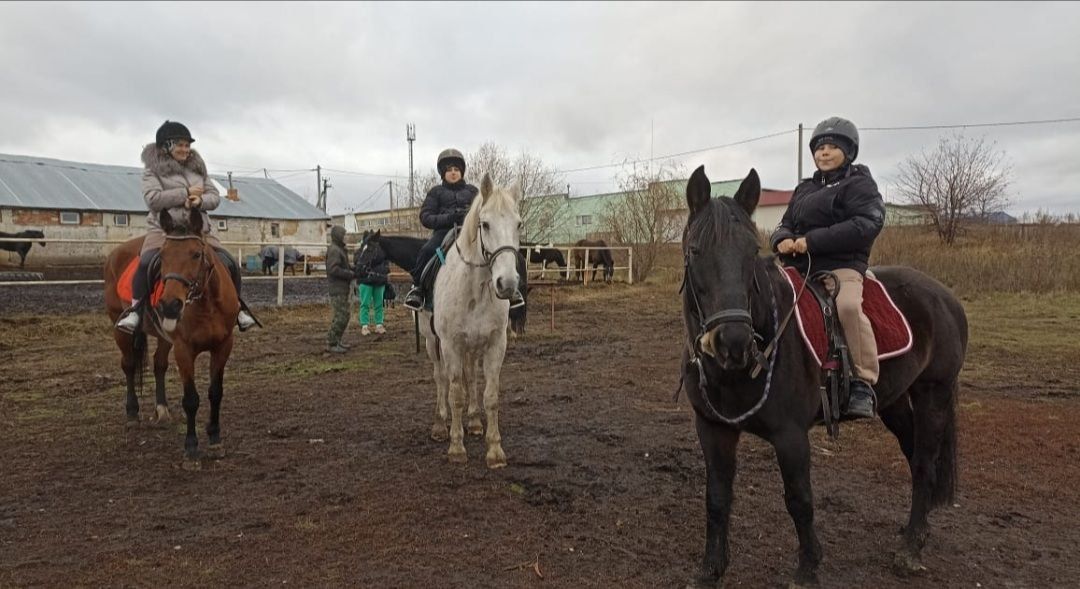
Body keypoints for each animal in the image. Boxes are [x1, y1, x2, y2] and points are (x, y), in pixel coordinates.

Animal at [104, 208, 239, 462]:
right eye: (163, 255)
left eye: (196, 254)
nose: (169, 305)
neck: (206, 305)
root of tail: (116, 253)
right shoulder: (184, 349)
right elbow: (191, 399)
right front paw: (191, 448)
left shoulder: (223, 346)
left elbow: (215, 392)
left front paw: (215, 439)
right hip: (119, 328)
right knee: (128, 365)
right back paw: (132, 414)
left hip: (164, 336)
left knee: (159, 364)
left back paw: (162, 410)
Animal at [421, 171, 522, 466]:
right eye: (485, 224)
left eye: (519, 224)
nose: (507, 284)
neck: (475, 290)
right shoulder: (451, 345)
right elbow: (455, 393)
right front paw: (456, 447)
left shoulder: (495, 344)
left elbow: (490, 395)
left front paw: (494, 450)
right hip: (432, 343)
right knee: (441, 378)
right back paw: (440, 424)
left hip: (473, 347)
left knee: (471, 378)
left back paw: (475, 422)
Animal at [678, 167, 967, 583]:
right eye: (695, 251)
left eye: (751, 252)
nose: (733, 342)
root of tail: (946, 297)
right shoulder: (713, 429)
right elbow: (716, 497)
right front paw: (711, 570)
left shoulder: (791, 436)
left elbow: (799, 500)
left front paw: (808, 569)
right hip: (894, 401)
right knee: (914, 457)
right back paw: (917, 530)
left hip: (934, 394)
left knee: (925, 463)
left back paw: (911, 548)